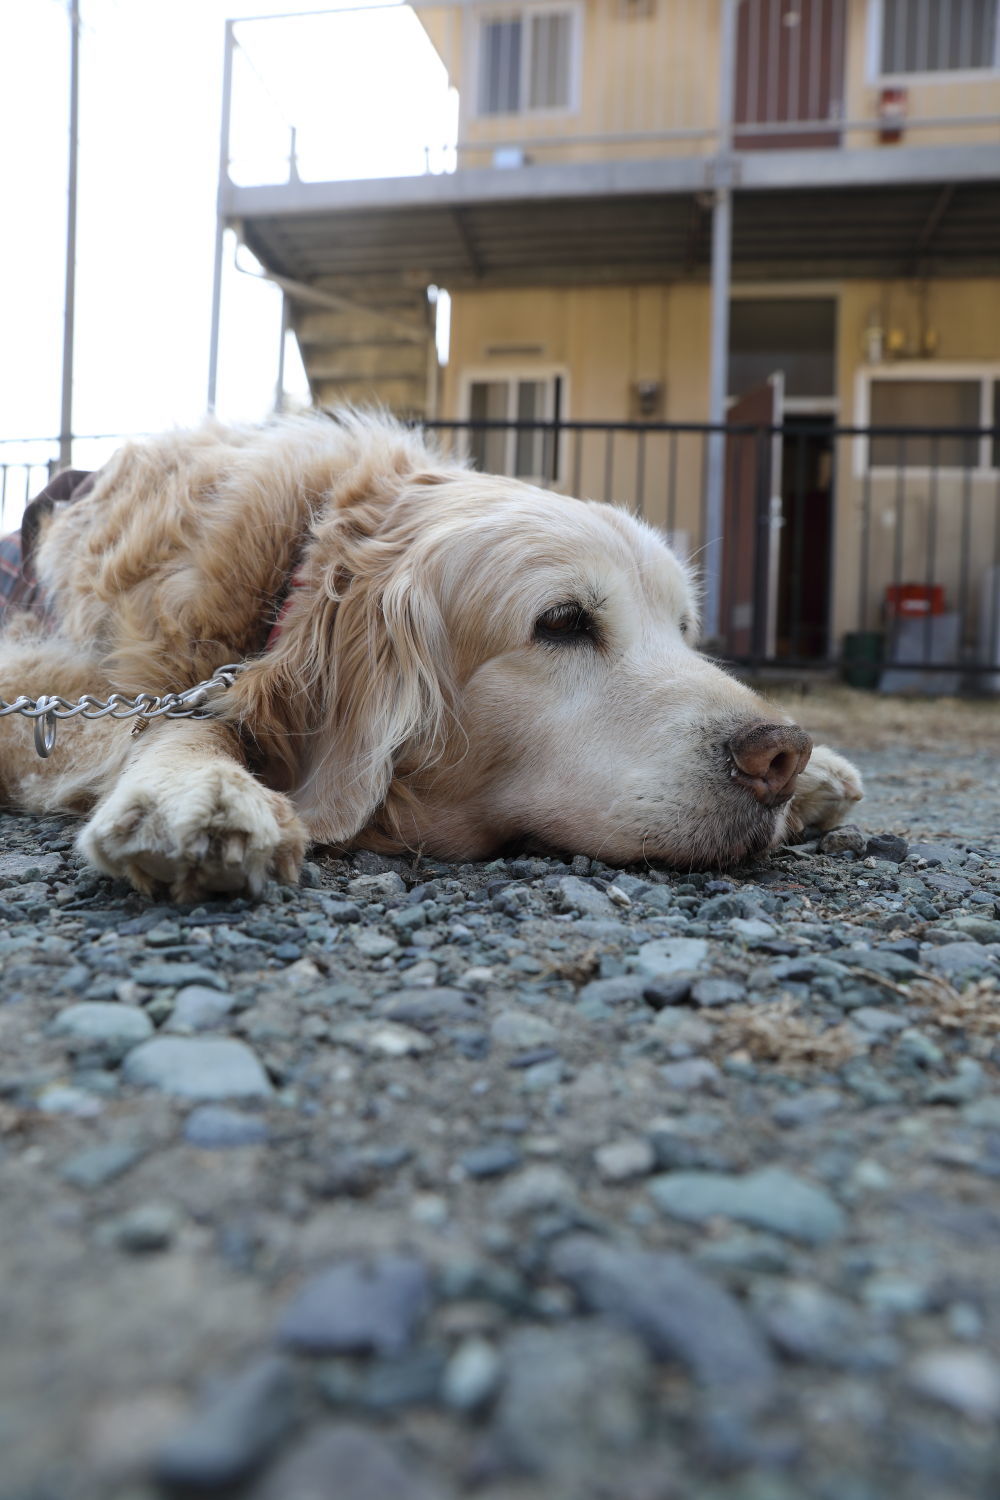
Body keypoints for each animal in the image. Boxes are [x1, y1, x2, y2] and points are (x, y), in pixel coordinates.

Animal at [0, 411, 863, 894]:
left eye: (682, 628)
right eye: (562, 621)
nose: (781, 755)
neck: (295, 562)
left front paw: (821, 775)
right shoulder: (45, 682)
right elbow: (184, 718)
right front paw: (197, 790)